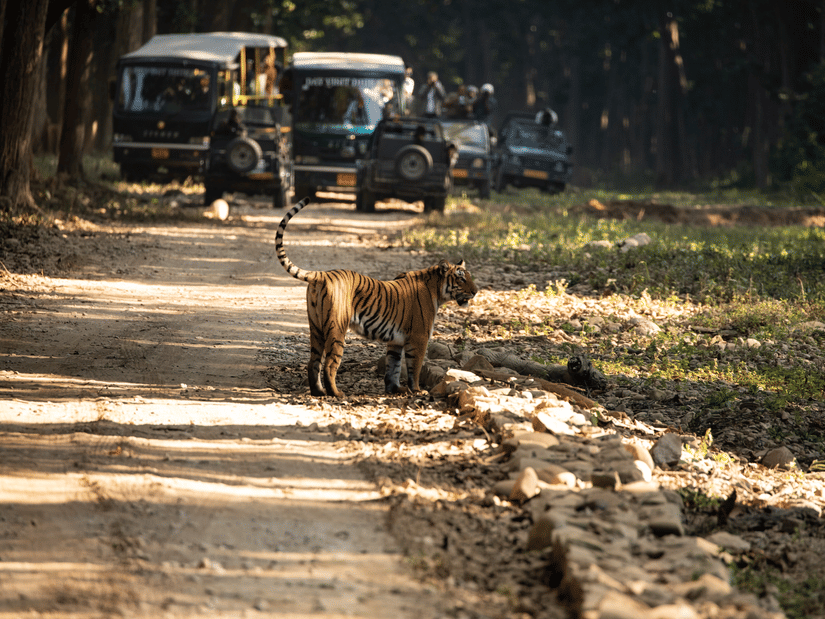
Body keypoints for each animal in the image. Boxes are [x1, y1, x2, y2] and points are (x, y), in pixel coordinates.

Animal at [275, 198, 477, 397]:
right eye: (461, 278)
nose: (476, 291)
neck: (436, 290)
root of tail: (322, 274)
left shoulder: (396, 341)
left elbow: (393, 367)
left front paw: (394, 389)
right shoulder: (419, 338)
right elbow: (415, 367)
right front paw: (417, 391)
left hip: (316, 327)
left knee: (313, 362)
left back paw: (318, 392)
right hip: (336, 328)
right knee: (330, 364)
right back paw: (336, 393)